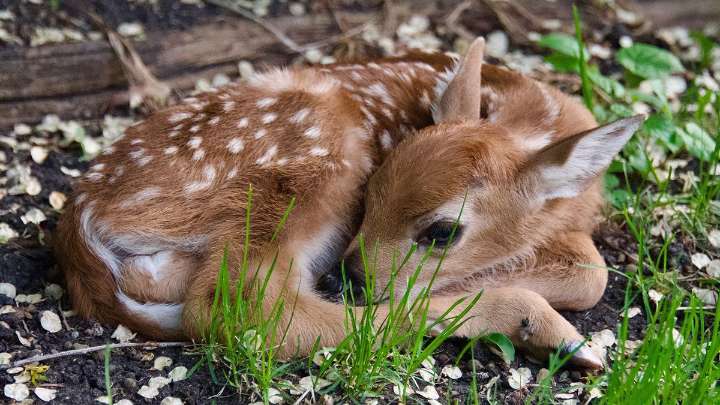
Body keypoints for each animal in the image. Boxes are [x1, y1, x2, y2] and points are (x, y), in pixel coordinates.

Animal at [55, 37, 643, 369]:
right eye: (372, 195)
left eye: (441, 232)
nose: (350, 276)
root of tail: (81, 219)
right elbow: (592, 271)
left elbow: (590, 269)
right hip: (313, 162)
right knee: (247, 307)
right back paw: (545, 329)